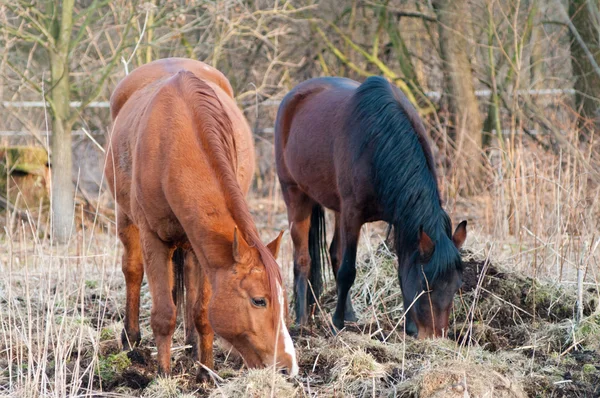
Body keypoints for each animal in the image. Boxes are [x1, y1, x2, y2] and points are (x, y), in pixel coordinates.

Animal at [106, 57, 298, 374]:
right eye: (259, 300)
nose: (288, 367)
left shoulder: (208, 251)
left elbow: (203, 312)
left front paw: (205, 372)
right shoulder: (153, 238)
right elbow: (163, 313)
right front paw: (164, 374)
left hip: (190, 245)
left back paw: (191, 345)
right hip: (127, 219)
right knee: (132, 270)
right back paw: (132, 341)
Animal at [276, 76, 468, 338]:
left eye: (457, 286)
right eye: (425, 285)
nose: (433, 336)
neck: (378, 142)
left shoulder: (401, 220)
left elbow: (401, 269)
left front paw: (407, 326)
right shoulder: (353, 214)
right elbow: (348, 270)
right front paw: (336, 324)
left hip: (335, 207)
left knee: (334, 253)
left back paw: (350, 315)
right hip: (295, 195)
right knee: (303, 259)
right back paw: (302, 320)